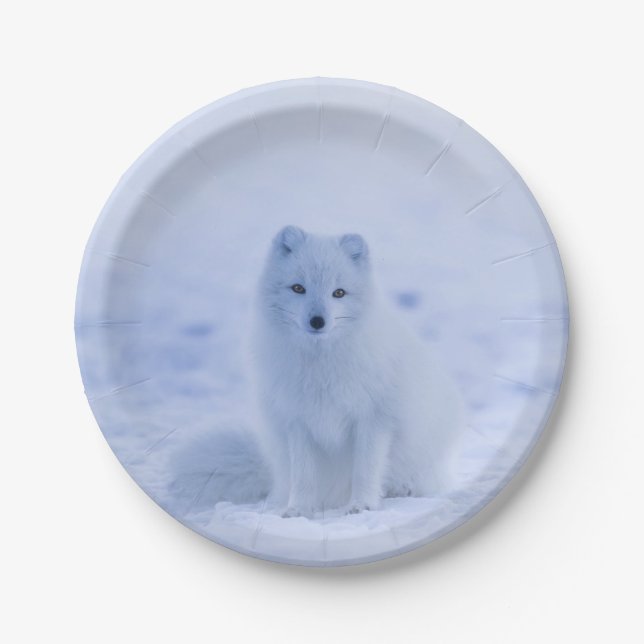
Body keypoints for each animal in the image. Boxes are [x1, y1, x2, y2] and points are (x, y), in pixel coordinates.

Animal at [168, 226, 464, 518]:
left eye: (339, 293)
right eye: (298, 288)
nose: (317, 321)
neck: (320, 365)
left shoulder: (374, 418)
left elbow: (366, 469)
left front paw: (362, 505)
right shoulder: (298, 421)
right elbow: (304, 475)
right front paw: (297, 510)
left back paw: (402, 490)